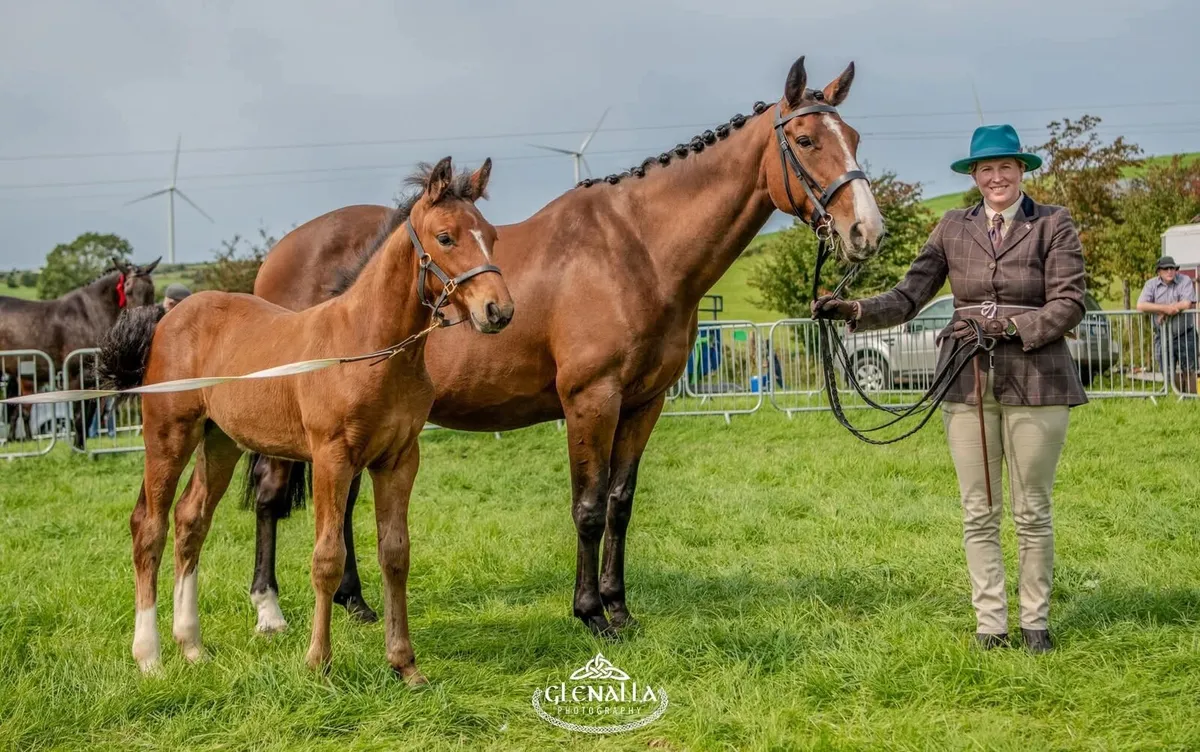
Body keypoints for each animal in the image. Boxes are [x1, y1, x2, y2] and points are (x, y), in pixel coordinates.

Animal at [0, 258, 159, 448]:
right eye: (128, 289)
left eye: (151, 289)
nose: (144, 322)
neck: (88, 315)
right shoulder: (76, 375)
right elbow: (79, 416)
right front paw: (78, 448)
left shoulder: (93, 380)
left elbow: (87, 416)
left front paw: (80, 445)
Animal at [97, 157, 513, 681]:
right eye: (445, 237)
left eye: (492, 235)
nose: (499, 310)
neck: (367, 347)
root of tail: (167, 318)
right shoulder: (331, 457)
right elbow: (328, 557)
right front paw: (318, 662)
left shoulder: (399, 459)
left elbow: (395, 554)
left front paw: (404, 665)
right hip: (167, 434)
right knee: (149, 526)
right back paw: (149, 655)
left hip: (220, 441)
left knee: (191, 520)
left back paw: (191, 645)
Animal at [247, 55, 886, 637]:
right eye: (805, 140)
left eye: (854, 138)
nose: (867, 232)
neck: (637, 249)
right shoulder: (591, 399)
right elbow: (589, 506)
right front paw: (590, 613)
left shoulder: (644, 403)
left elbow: (620, 504)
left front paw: (619, 607)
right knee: (271, 497)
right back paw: (269, 608)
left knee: (344, 501)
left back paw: (355, 603)